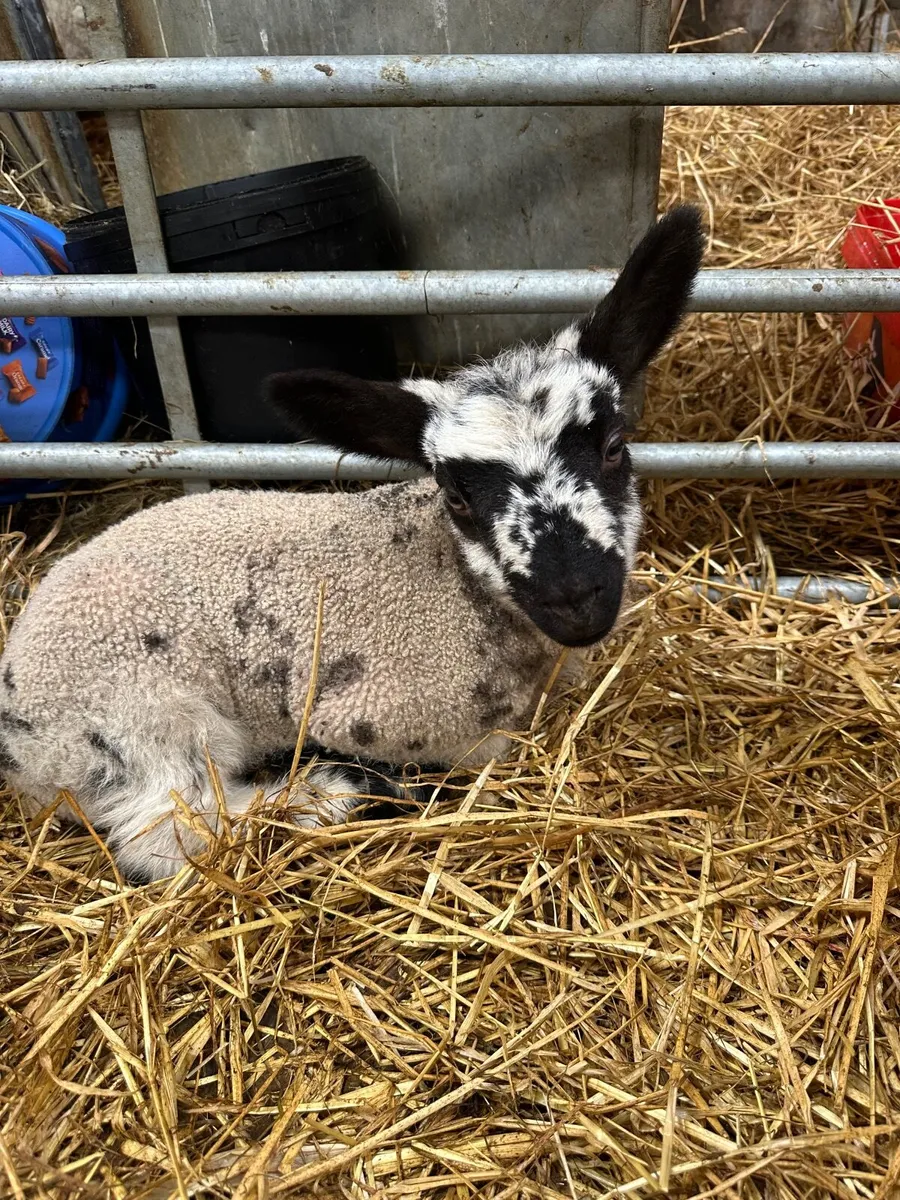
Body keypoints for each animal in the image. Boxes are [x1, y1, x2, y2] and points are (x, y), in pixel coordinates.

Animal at [0, 205, 704, 882]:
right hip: (143, 720)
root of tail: (21, 745)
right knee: (178, 832)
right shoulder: (392, 714)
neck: (458, 587)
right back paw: (338, 792)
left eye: (613, 447)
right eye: (455, 496)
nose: (574, 597)